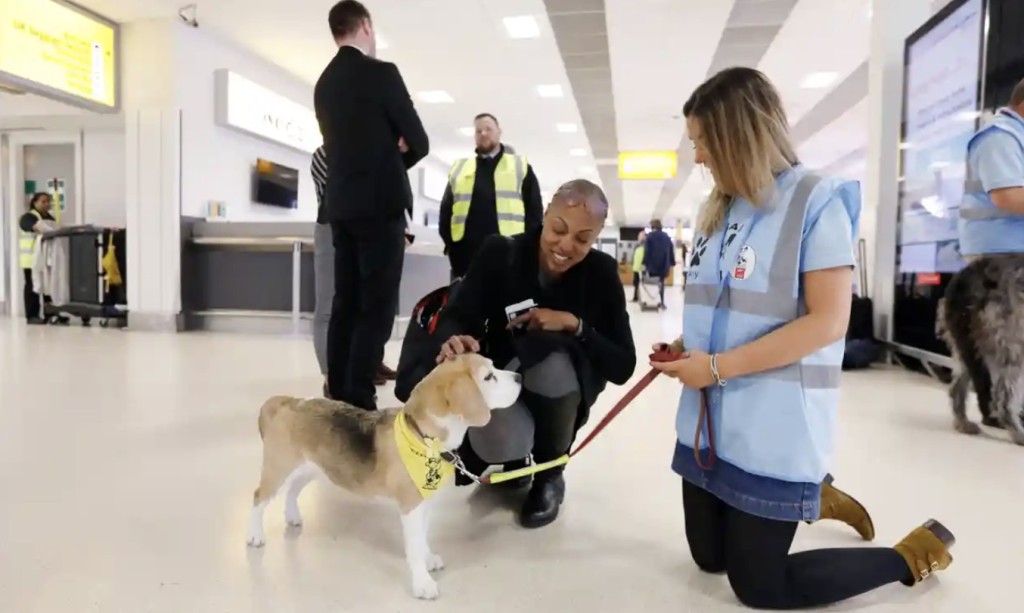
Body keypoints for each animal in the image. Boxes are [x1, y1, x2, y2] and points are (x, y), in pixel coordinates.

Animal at [937, 253, 1024, 446]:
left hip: (965, 348)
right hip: (1012, 346)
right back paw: (1018, 433)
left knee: (956, 388)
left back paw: (962, 422)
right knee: (1003, 401)